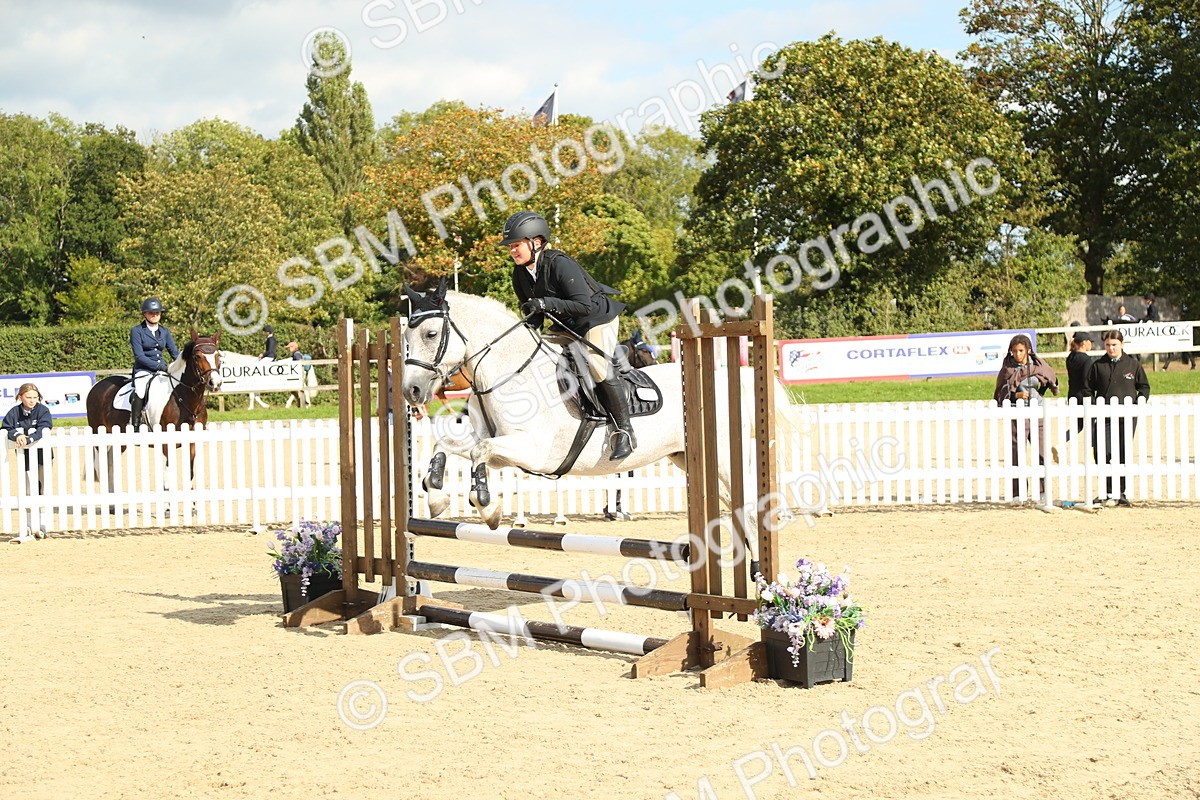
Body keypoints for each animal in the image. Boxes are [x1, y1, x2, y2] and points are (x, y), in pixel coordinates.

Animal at [86, 329, 223, 495]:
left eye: (218, 356)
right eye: (197, 356)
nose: (215, 383)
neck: (182, 397)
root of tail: (97, 386)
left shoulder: (192, 442)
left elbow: (190, 471)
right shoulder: (166, 442)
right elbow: (168, 476)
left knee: (111, 463)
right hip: (99, 435)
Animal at [400, 282, 800, 543]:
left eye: (432, 334)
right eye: (405, 336)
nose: (411, 391)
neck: (507, 370)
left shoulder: (532, 450)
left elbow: (478, 454)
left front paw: (486, 506)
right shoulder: (500, 447)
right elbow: (447, 445)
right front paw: (435, 495)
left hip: (724, 460)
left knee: (750, 510)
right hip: (689, 458)